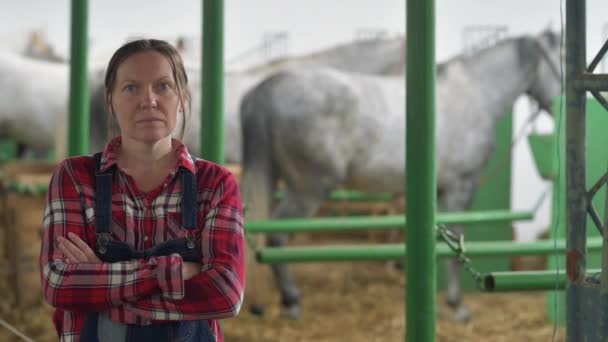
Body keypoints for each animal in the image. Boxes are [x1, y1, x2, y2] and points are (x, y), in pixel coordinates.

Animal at [240, 30, 564, 322]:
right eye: (562, 60)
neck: (474, 93)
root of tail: (267, 89)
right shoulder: (461, 187)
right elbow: (457, 241)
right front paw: (457, 306)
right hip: (308, 188)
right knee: (276, 236)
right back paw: (291, 301)